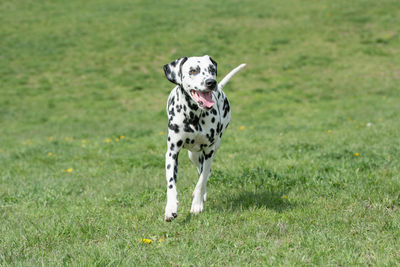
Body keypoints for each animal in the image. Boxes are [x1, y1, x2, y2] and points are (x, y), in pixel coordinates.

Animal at [162, 55, 244, 222]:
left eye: (212, 69)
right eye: (193, 70)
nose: (211, 82)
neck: (193, 116)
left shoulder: (208, 152)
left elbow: (201, 180)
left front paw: (197, 204)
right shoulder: (172, 153)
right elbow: (171, 184)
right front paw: (171, 208)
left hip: (211, 149)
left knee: (204, 173)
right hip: (192, 155)